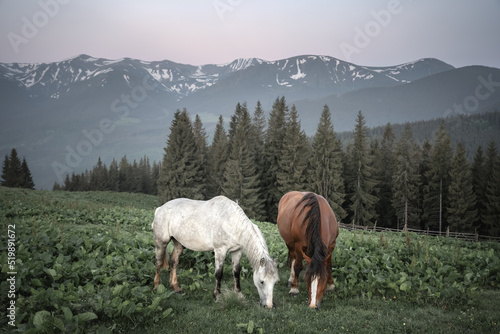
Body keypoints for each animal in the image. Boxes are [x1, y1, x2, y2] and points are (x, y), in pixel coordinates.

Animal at [150, 196, 280, 308]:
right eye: (262, 281)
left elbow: (236, 272)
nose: (268, 305)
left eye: (275, 282)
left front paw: (238, 294)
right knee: (158, 263)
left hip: (178, 244)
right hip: (161, 243)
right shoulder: (220, 250)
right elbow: (219, 273)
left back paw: (176, 288)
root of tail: (159, 209)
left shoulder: (237, 251)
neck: (231, 222)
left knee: (174, 262)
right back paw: (156, 287)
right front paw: (217, 296)